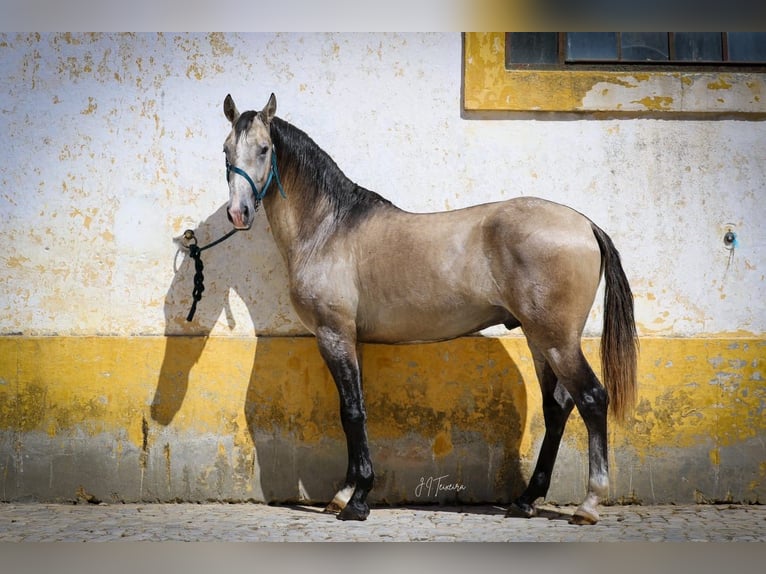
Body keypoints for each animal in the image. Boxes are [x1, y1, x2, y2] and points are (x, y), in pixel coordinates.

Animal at [219, 93, 640, 528]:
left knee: (592, 399)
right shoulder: (350, 340)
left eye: (263, 149)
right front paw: (345, 493)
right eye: (226, 151)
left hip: (557, 341)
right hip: (540, 340)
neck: (328, 229)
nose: (238, 213)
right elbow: (354, 410)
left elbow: (351, 412)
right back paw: (525, 500)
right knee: (557, 407)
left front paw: (357, 501)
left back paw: (588, 504)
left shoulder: (334, 335)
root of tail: (585, 225)